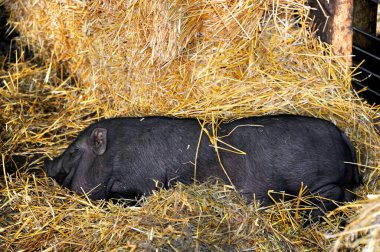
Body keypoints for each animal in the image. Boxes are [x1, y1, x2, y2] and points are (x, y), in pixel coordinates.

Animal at [44, 115, 360, 216]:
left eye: (73, 151)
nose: (47, 165)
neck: (114, 157)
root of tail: (340, 133)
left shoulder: (145, 182)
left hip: (316, 181)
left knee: (335, 195)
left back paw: (309, 217)